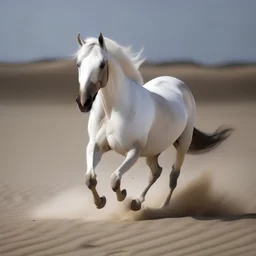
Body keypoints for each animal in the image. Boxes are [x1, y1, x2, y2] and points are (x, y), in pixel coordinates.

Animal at [73, 33, 232, 211]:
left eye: (102, 64)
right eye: (78, 63)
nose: (83, 102)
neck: (112, 111)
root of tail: (177, 82)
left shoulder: (133, 152)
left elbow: (115, 179)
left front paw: (123, 195)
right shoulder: (96, 146)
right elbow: (90, 179)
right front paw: (100, 202)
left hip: (182, 144)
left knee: (173, 175)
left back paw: (164, 207)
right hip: (153, 151)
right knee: (156, 172)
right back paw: (137, 202)